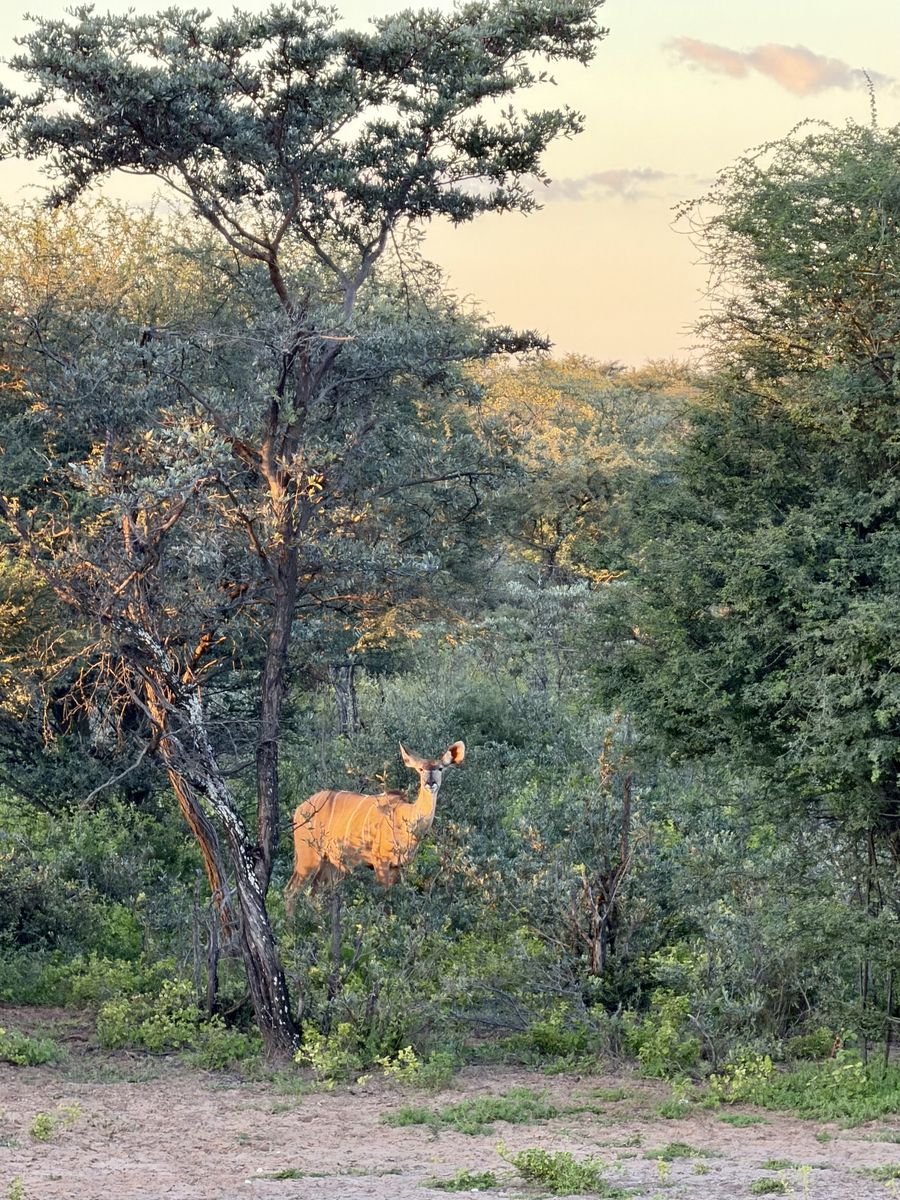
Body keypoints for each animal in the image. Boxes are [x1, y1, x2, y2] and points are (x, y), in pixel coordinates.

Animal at [284, 740, 465, 913]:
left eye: (440, 768)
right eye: (420, 769)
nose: (430, 783)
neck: (406, 820)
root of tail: (299, 809)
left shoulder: (400, 866)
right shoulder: (380, 861)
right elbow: (384, 900)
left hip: (329, 861)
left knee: (314, 892)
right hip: (308, 855)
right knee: (291, 890)